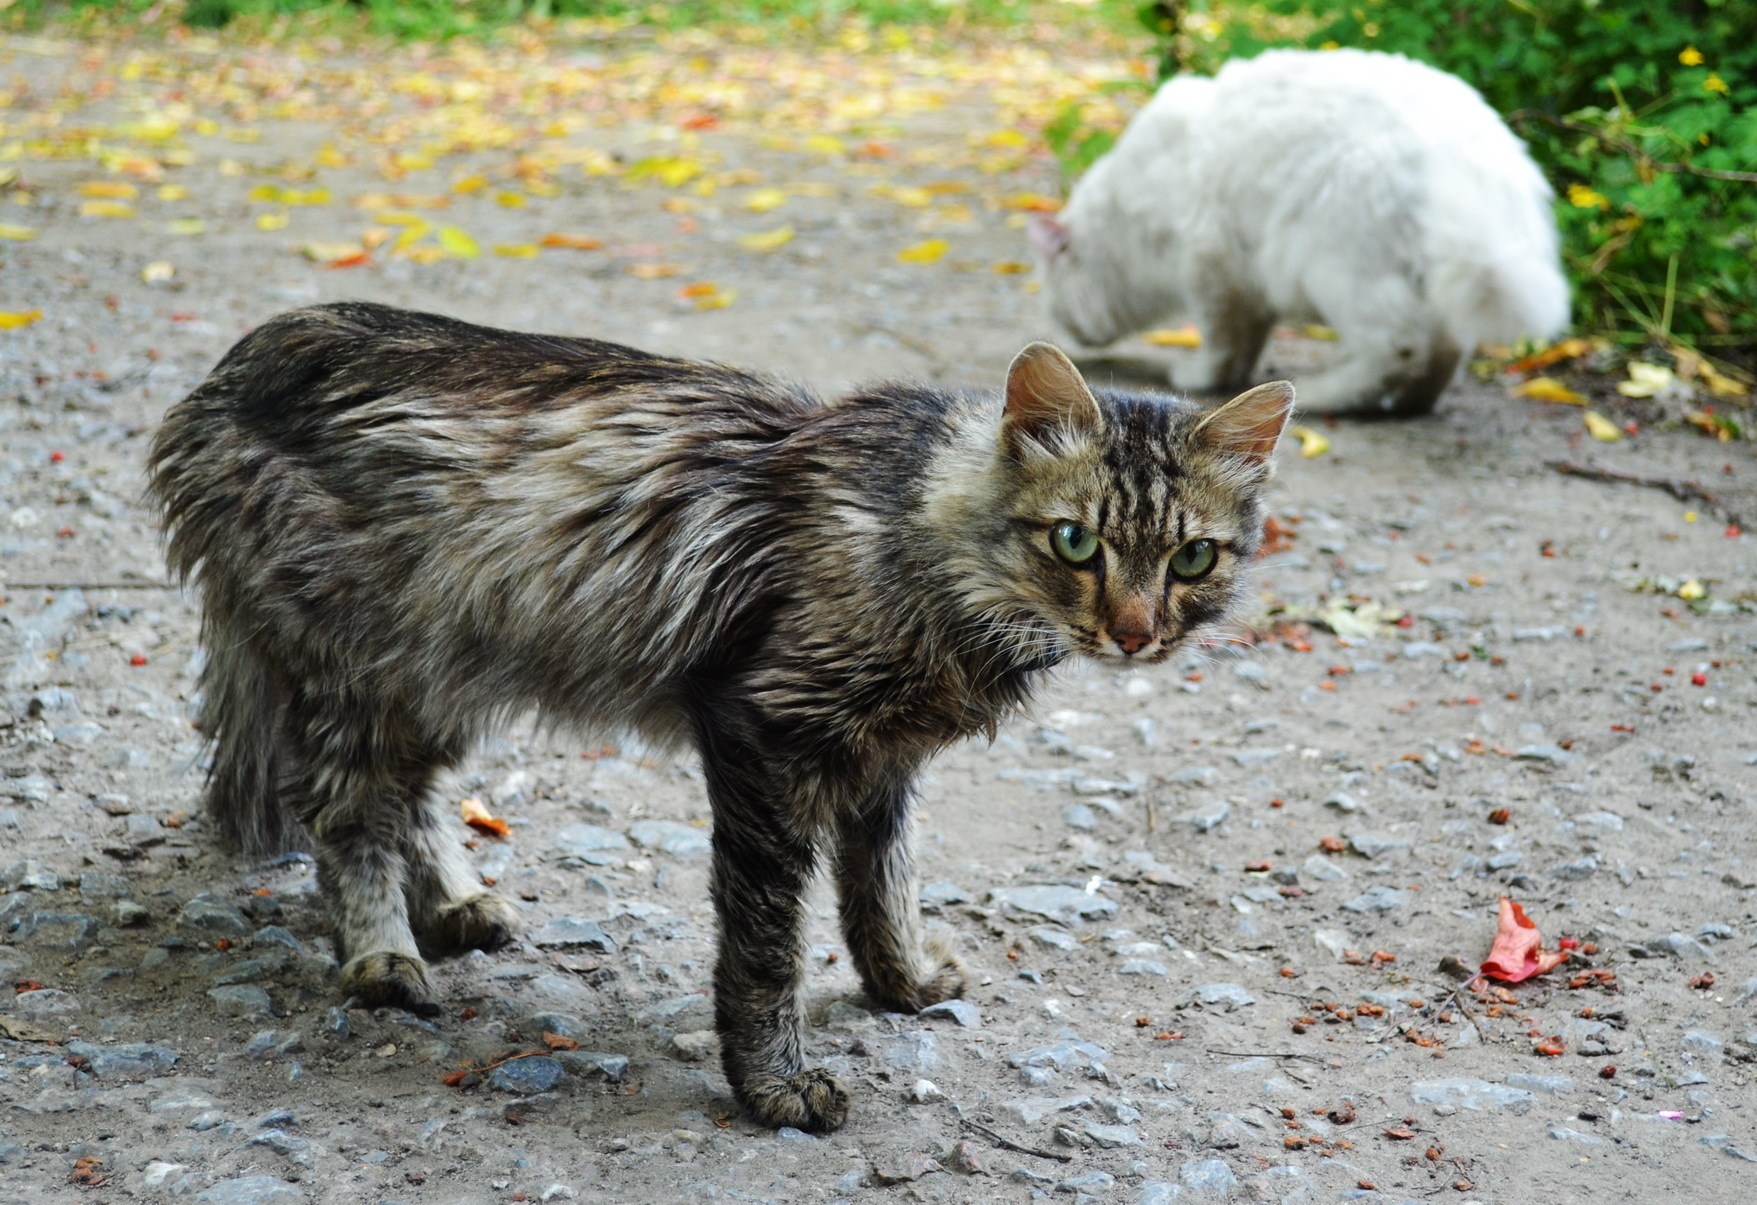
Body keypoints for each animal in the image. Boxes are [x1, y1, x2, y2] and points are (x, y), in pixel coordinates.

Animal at [147, 303, 1293, 1131]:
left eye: (1191, 557)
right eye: (1074, 541)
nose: (1136, 632)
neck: (926, 539)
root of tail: (236, 364)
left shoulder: (883, 763)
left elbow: (884, 887)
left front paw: (903, 984)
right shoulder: (765, 733)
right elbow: (768, 947)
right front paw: (775, 1089)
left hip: (443, 672)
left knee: (413, 795)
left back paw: (457, 905)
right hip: (358, 663)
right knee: (349, 811)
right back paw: (382, 957)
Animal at [1026, 49, 1567, 418]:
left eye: (1053, 294)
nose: (1061, 325)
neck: (1123, 217)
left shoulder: (1208, 266)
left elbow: (1221, 341)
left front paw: (1203, 377)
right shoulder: (1247, 280)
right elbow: (1249, 340)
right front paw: (1237, 378)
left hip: (1337, 267)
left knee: (1401, 349)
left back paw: (1327, 394)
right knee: (1442, 354)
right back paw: (1411, 404)